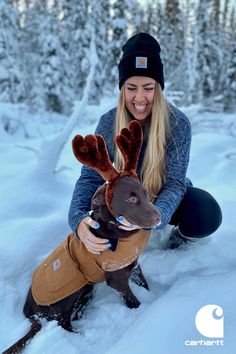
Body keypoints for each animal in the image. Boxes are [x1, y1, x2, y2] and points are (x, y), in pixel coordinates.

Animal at [3, 120, 159, 352]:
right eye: (131, 199)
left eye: (145, 194)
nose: (159, 217)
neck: (117, 229)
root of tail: (32, 316)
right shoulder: (116, 279)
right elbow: (132, 299)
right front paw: (143, 311)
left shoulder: (132, 263)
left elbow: (143, 282)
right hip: (70, 291)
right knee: (62, 322)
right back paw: (79, 336)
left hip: (85, 288)